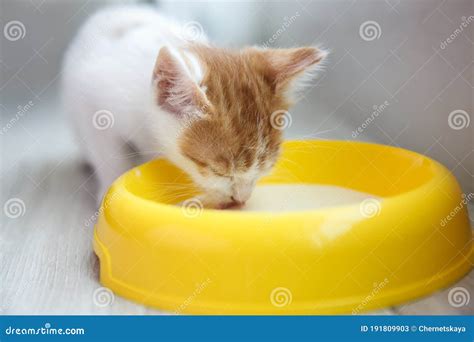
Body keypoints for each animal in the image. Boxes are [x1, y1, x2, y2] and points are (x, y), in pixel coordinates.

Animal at [63, 6, 326, 208]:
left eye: (265, 168)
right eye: (218, 171)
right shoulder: (90, 99)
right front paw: (110, 185)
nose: (241, 199)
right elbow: (107, 151)